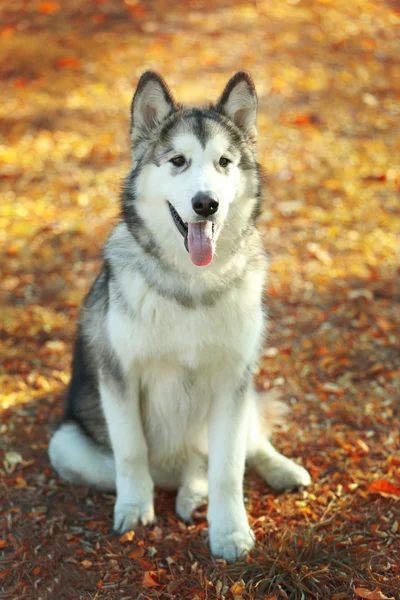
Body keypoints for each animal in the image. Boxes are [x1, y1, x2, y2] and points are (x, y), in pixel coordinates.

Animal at [47, 71, 310, 564]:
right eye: (178, 161)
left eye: (224, 162)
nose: (206, 204)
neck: (192, 282)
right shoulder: (120, 376)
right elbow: (131, 454)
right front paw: (134, 510)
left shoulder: (233, 380)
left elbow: (230, 468)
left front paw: (230, 532)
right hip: (64, 443)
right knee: (165, 468)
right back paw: (187, 491)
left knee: (246, 446)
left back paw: (275, 471)